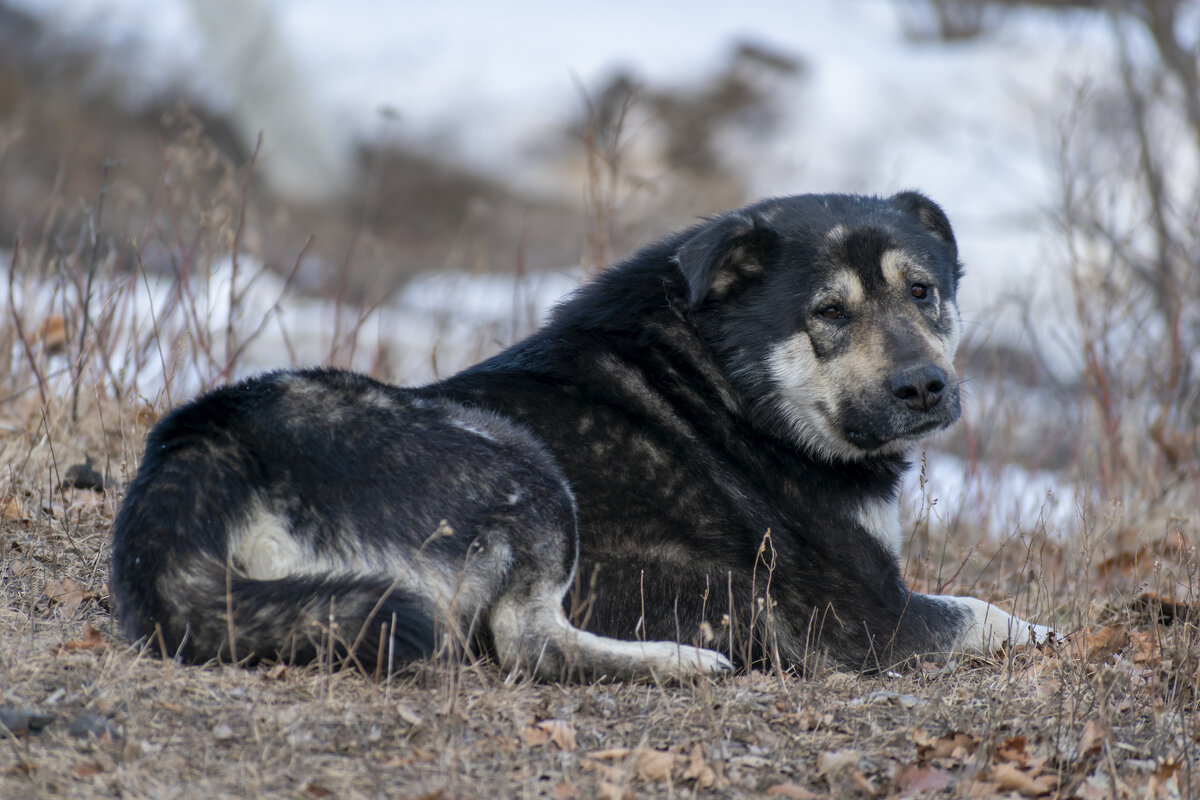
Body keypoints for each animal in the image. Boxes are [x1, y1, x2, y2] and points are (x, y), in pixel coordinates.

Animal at [110, 190, 1051, 681]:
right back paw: (682, 660)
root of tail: (208, 443)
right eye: (827, 313)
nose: (924, 387)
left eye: (924, 291)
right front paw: (1043, 634)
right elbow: (985, 612)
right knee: (527, 643)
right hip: (522, 468)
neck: (729, 387)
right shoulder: (870, 621)